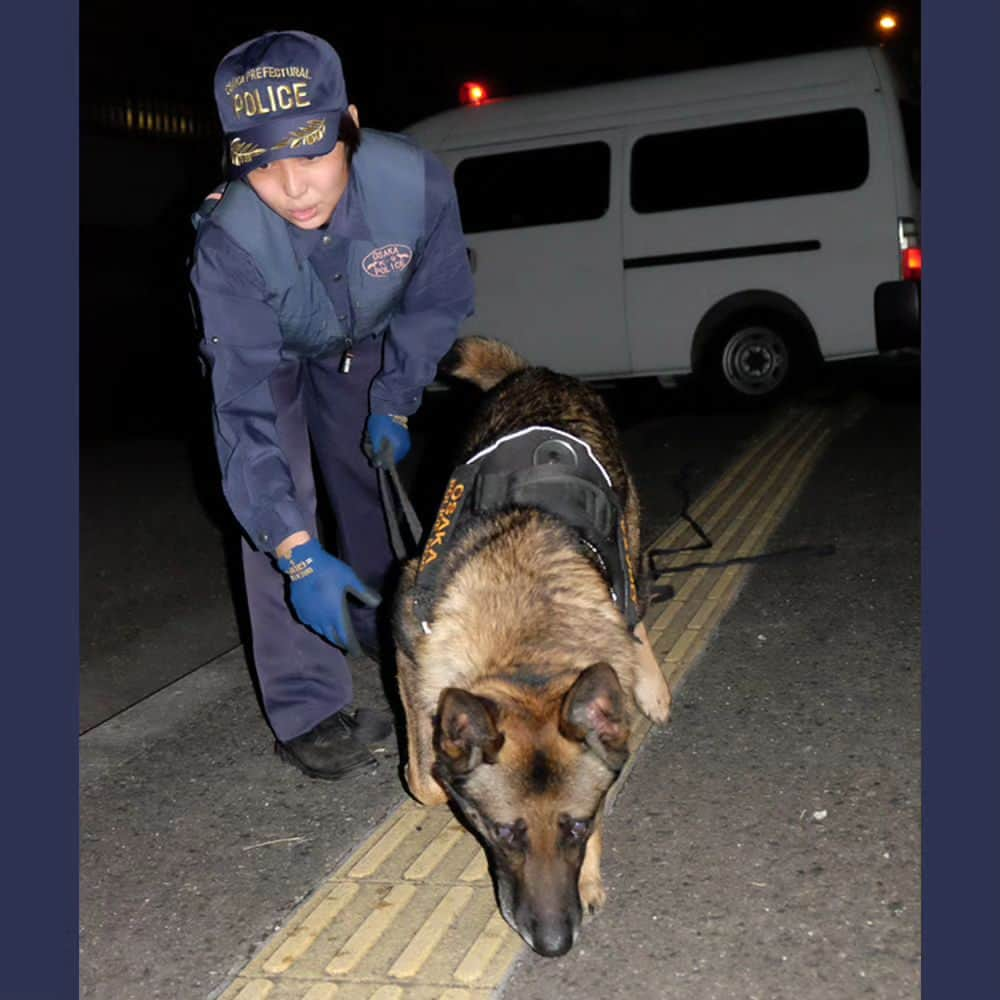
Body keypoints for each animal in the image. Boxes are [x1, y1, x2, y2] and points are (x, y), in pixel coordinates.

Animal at [392, 340, 672, 956]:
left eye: (578, 826)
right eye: (503, 834)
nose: (554, 944)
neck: (528, 660)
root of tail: (537, 372)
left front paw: (587, 876)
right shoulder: (407, 644)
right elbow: (425, 782)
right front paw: (438, 776)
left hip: (628, 538)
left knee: (635, 607)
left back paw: (652, 683)